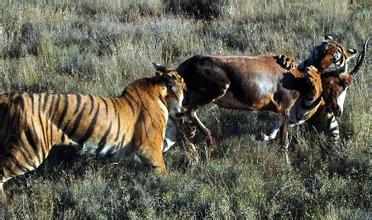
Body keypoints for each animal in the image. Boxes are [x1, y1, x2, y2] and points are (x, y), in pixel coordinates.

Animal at [0, 67, 186, 199]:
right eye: (183, 83)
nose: (184, 109)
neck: (161, 93)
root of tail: (11, 96)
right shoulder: (149, 148)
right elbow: (163, 171)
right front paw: (172, 185)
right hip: (29, 150)